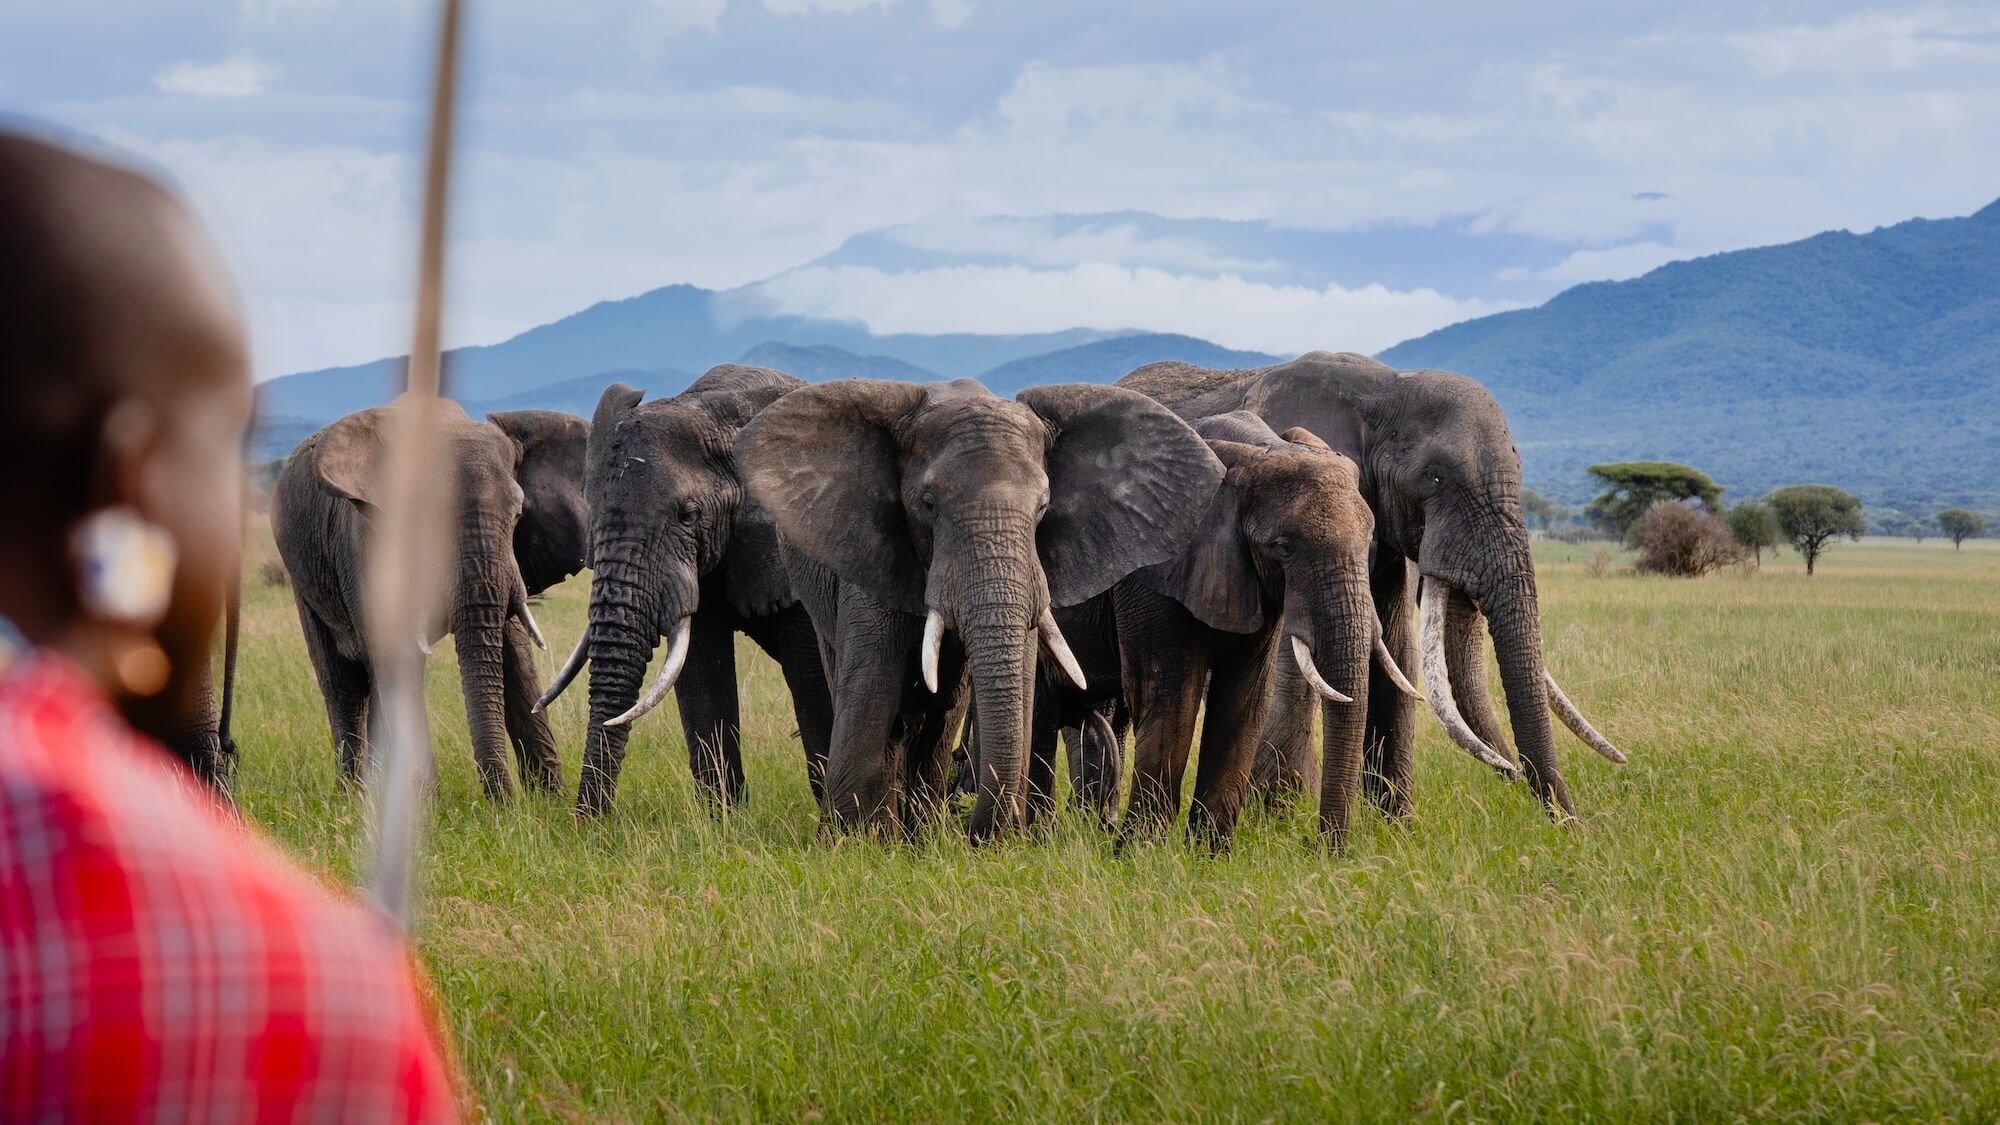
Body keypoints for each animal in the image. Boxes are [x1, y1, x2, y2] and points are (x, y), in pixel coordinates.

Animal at [272, 400, 589, 800]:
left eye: (519, 514)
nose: (500, 801)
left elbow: (515, 654)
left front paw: (548, 799)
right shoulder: (366, 545)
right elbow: (397, 659)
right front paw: (428, 804)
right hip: (304, 579)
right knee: (343, 683)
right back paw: (355, 794)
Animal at [535, 367, 834, 817]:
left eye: (688, 515)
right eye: (591, 511)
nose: (587, 823)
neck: (719, 410)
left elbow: (814, 677)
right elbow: (701, 672)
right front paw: (723, 820)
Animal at [736, 379, 1224, 839]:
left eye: (1043, 506)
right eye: (928, 504)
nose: (975, 830)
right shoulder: (871, 548)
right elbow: (872, 682)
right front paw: (850, 843)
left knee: (944, 705)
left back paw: (917, 834)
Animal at [1027, 412, 1421, 850]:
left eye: (1369, 544)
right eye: (1284, 547)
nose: (1319, 847)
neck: (1254, 452)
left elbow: (1243, 701)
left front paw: (1208, 853)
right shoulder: (1152, 575)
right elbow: (1171, 700)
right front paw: (1140, 853)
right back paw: (1036, 836)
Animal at [1117, 352, 1628, 821]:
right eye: (1433, 478)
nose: (1571, 829)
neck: (1386, 388)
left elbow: (1396, 651)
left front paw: (1396, 828)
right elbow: (1301, 659)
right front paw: (1281, 819)